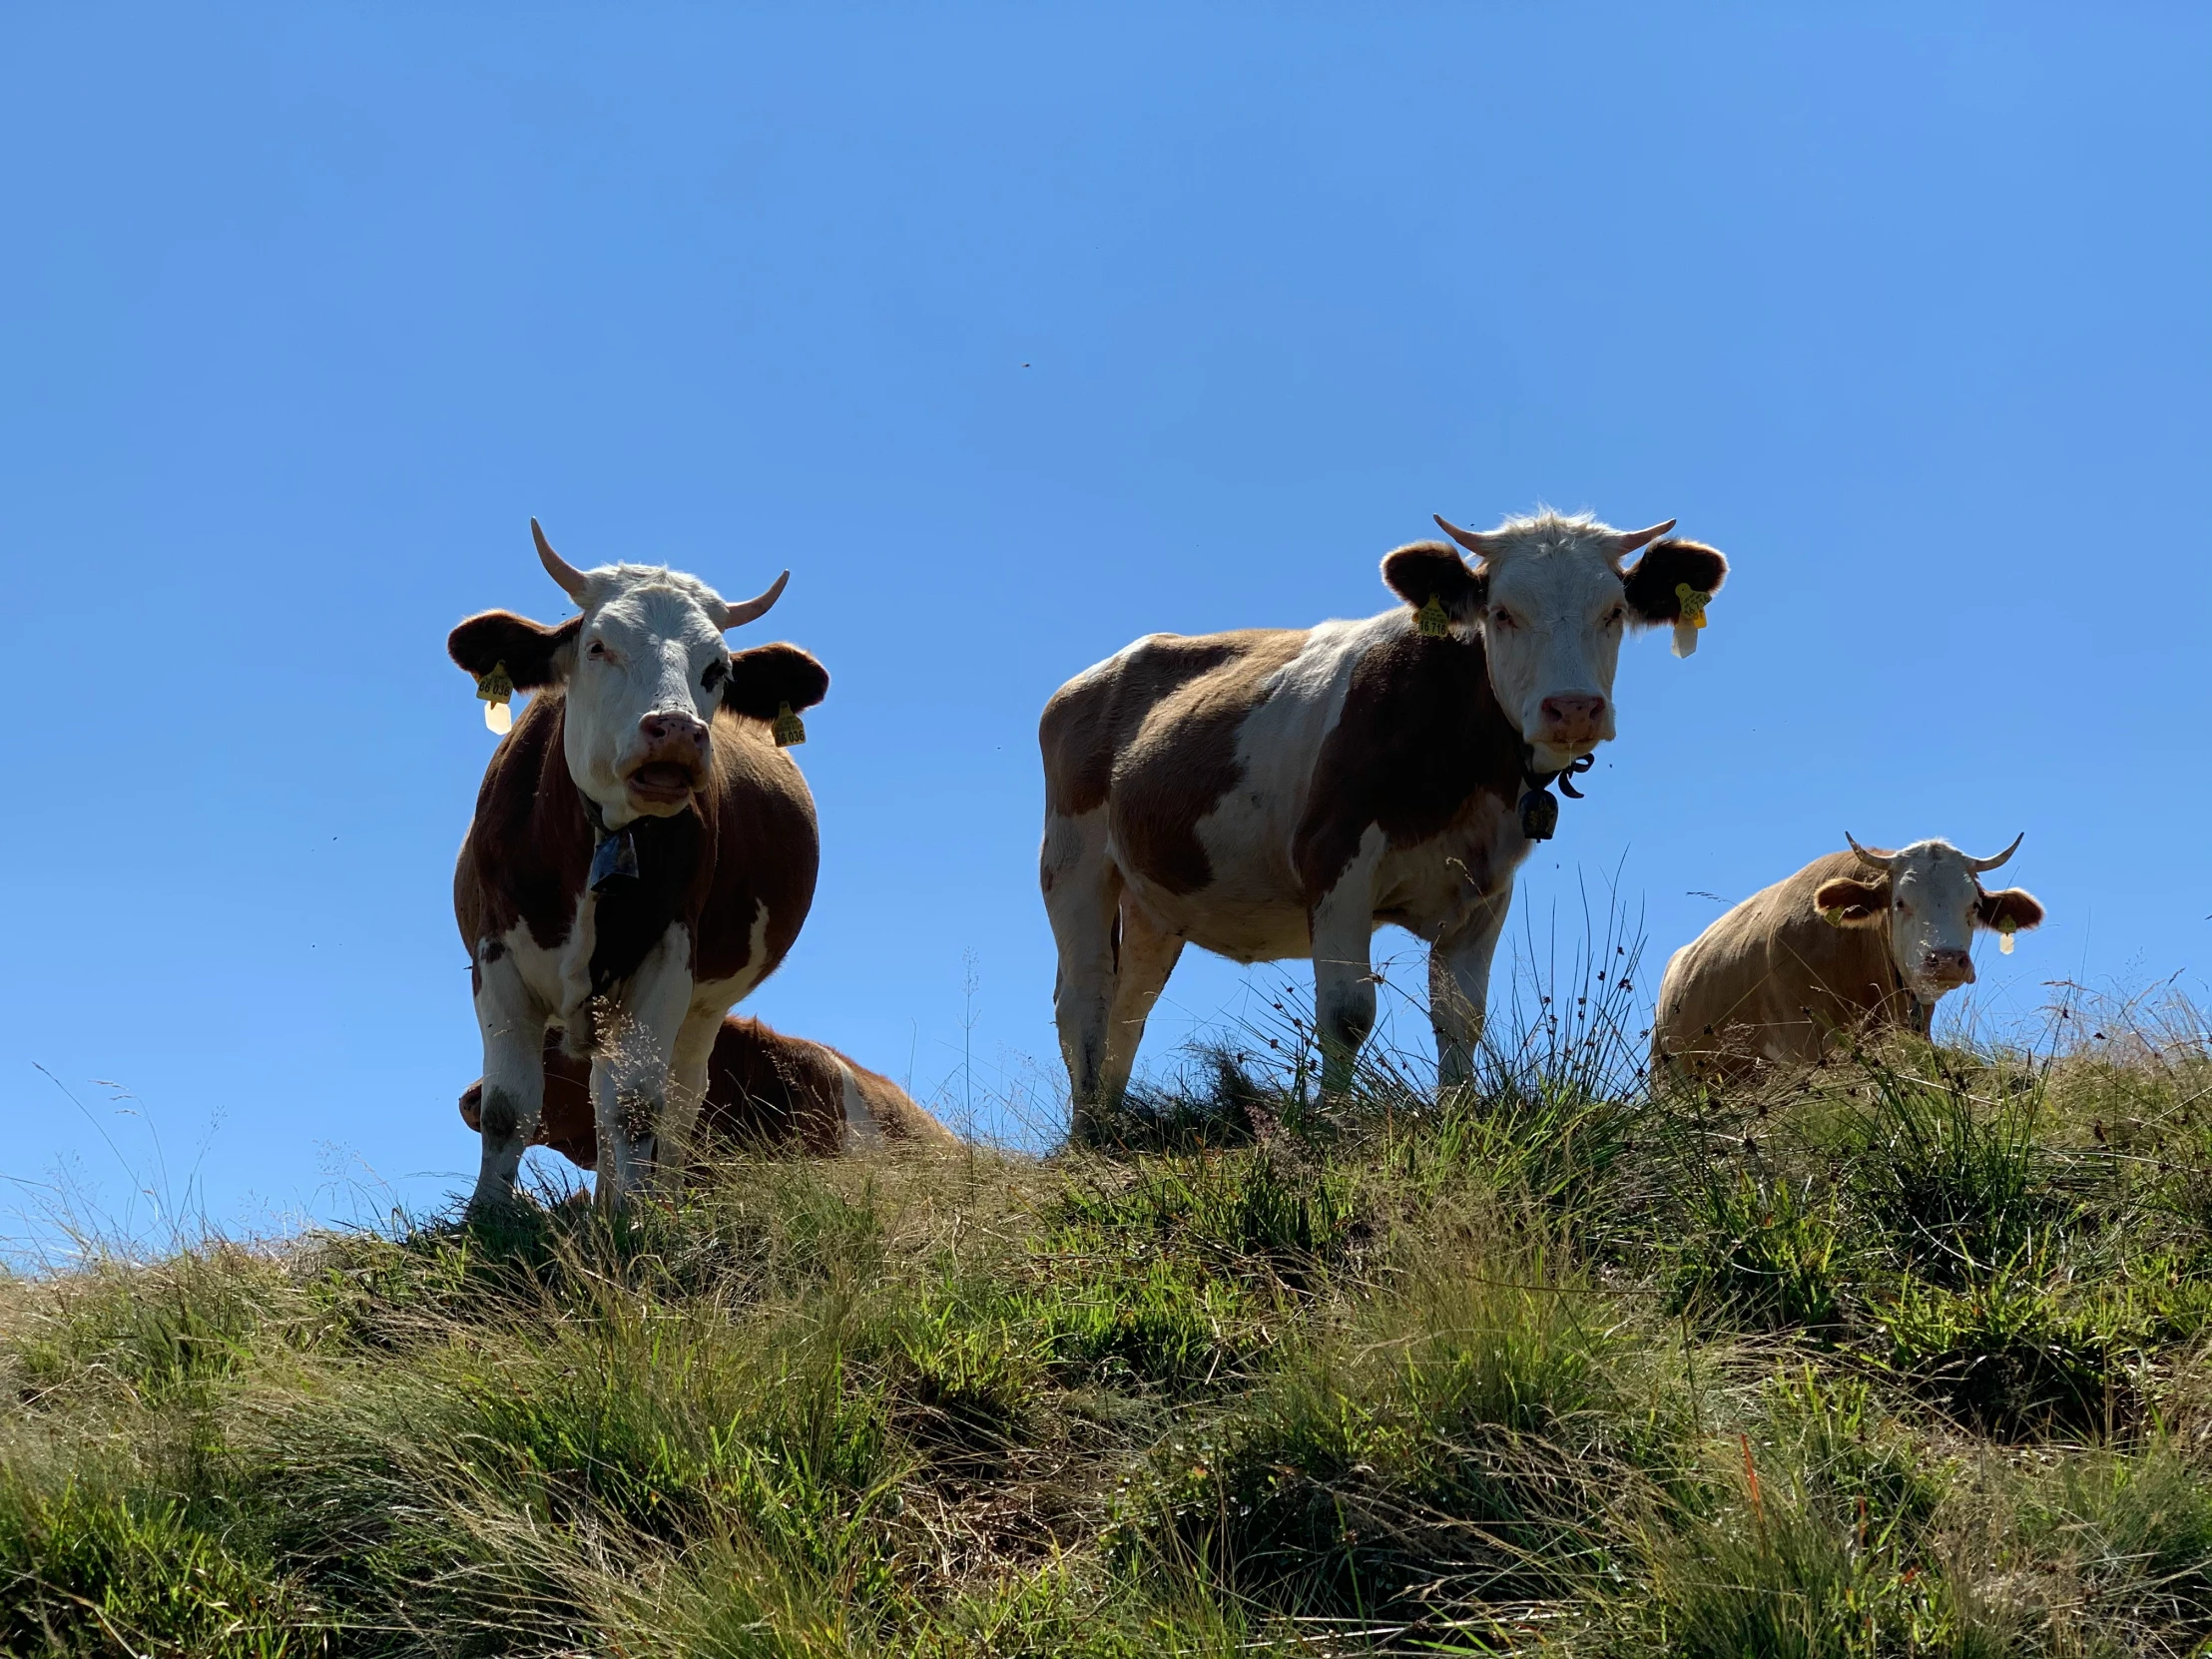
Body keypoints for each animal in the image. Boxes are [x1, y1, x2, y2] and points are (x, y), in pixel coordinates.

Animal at [448, 526, 831, 1212]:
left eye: (718, 668)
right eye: (598, 646)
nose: (676, 730)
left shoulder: (668, 960)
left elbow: (635, 1107)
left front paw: (632, 1217)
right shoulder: (495, 957)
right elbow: (507, 1106)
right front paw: (487, 1216)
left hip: (702, 1009)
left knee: (673, 1102)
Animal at [1035, 506, 1725, 1141]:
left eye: (1613, 611)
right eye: (1502, 612)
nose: (1574, 708)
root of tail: (1088, 680)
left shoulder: (1486, 888)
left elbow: (1460, 1015)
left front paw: (1457, 1117)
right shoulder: (1335, 859)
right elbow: (1347, 1013)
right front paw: (1334, 1122)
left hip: (1158, 900)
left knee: (1129, 1006)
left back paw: (1110, 1128)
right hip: (1072, 864)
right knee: (1085, 1000)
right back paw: (1085, 1140)